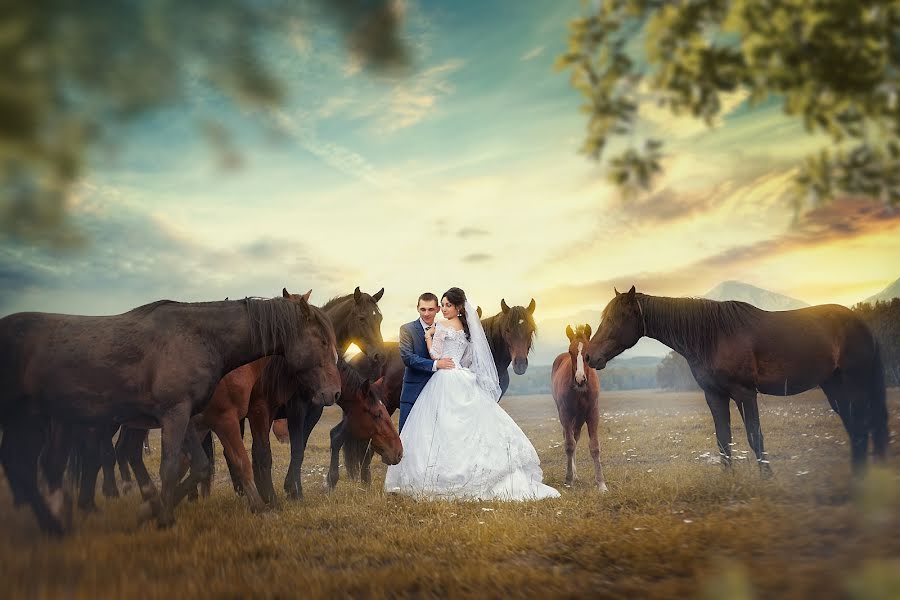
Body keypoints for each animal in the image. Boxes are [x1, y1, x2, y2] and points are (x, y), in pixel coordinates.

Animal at [0, 290, 342, 536]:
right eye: (323, 340)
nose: (334, 392)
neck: (199, 338)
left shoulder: (189, 416)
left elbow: (199, 466)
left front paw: (150, 510)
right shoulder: (181, 415)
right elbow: (179, 465)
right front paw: (165, 518)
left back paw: (56, 521)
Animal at [552, 326, 608, 490]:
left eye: (587, 353)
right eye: (570, 351)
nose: (580, 379)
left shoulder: (592, 413)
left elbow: (594, 446)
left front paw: (601, 483)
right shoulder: (565, 414)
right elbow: (569, 445)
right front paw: (568, 480)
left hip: (580, 417)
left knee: (575, 436)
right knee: (569, 438)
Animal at [584, 286, 884, 478]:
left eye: (617, 317)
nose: (588, 356)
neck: (713, 336)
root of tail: (861, 323)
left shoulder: (745, 394)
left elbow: (754, 436)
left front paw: (767, 477)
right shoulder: (715, 396)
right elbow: (723, 439)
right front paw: (728, 480)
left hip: (854, 386)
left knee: (860, 427)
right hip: (834, 388)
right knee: (855, 427)